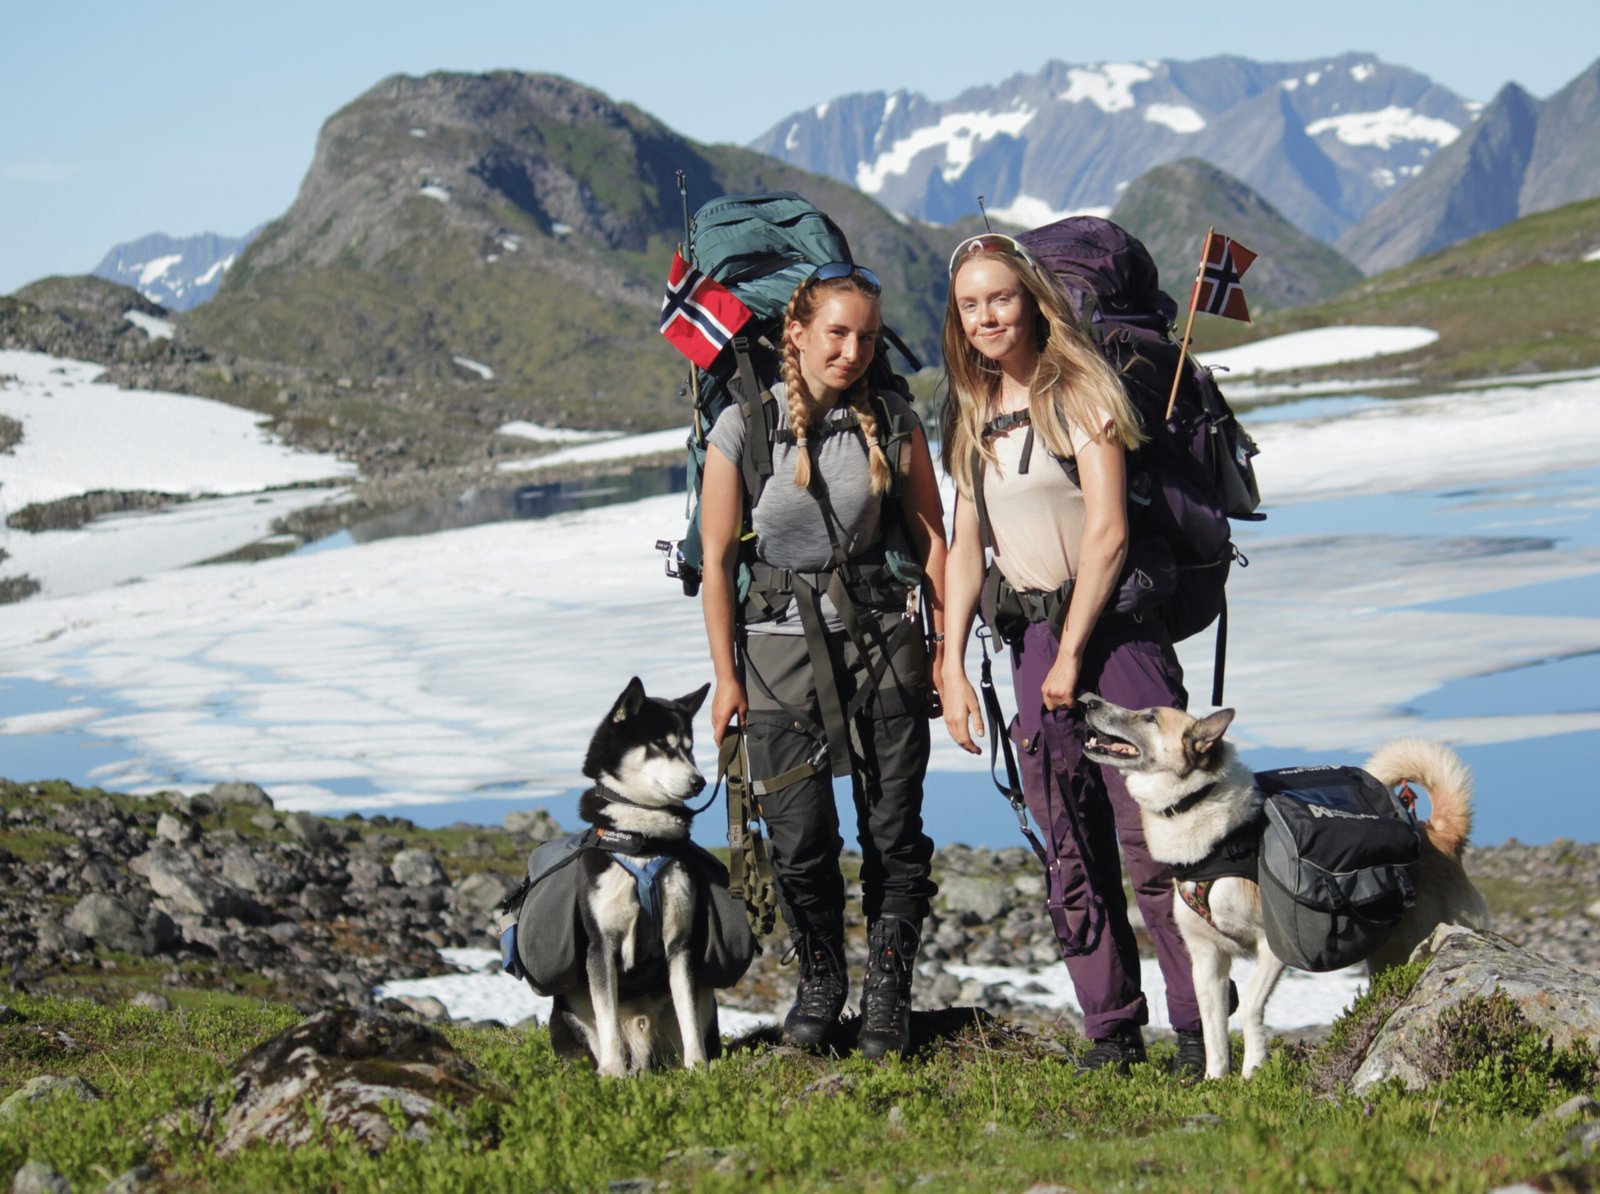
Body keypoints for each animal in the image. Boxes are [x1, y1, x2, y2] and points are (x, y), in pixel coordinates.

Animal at [1075, 694, 1484, 1075]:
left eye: (1150, 717)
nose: (1087, 701)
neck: (1196, 810)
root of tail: (1441, 834)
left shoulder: (1271, 947)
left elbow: (1250, 1005)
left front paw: (1253, 1069)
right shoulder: (1206, 958)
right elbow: (1212, 1030)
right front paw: (1214, 1081)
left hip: (1409, 947)